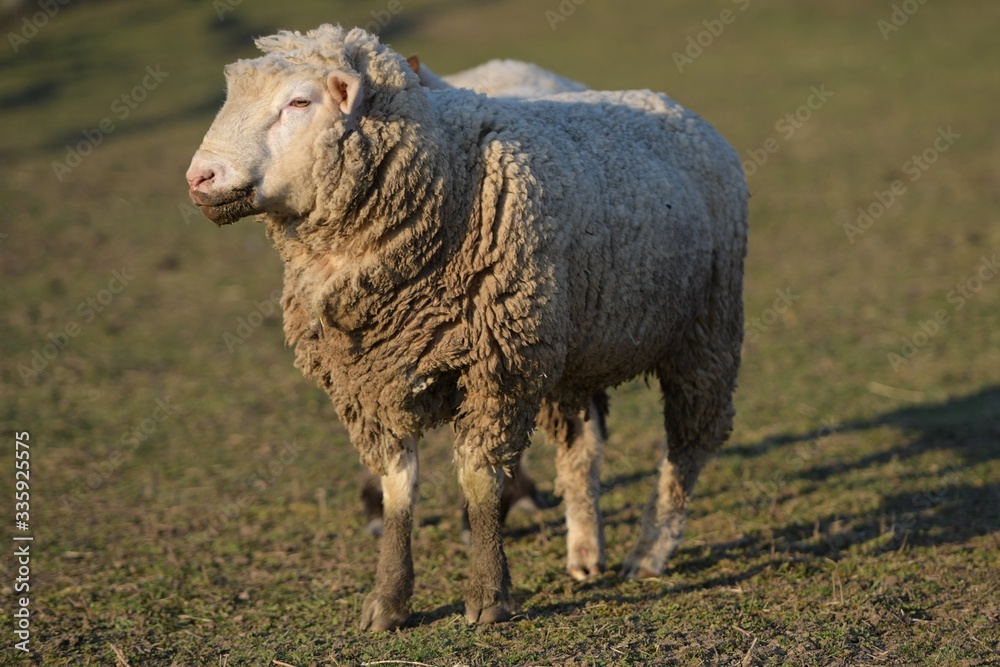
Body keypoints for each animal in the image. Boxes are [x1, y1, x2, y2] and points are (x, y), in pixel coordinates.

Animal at [188, 24, 752, 632]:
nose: (199, 178)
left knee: (688, 447)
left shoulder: (497, 365)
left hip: (705, 331)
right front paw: (388, 600)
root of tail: (667, 101)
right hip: (572, 350)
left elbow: (481, 481)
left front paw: (487, 595)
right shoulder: (372, 378)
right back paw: (584, 552)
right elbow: (399, 487)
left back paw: (650, 550)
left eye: (299, 102)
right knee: (581, 448)